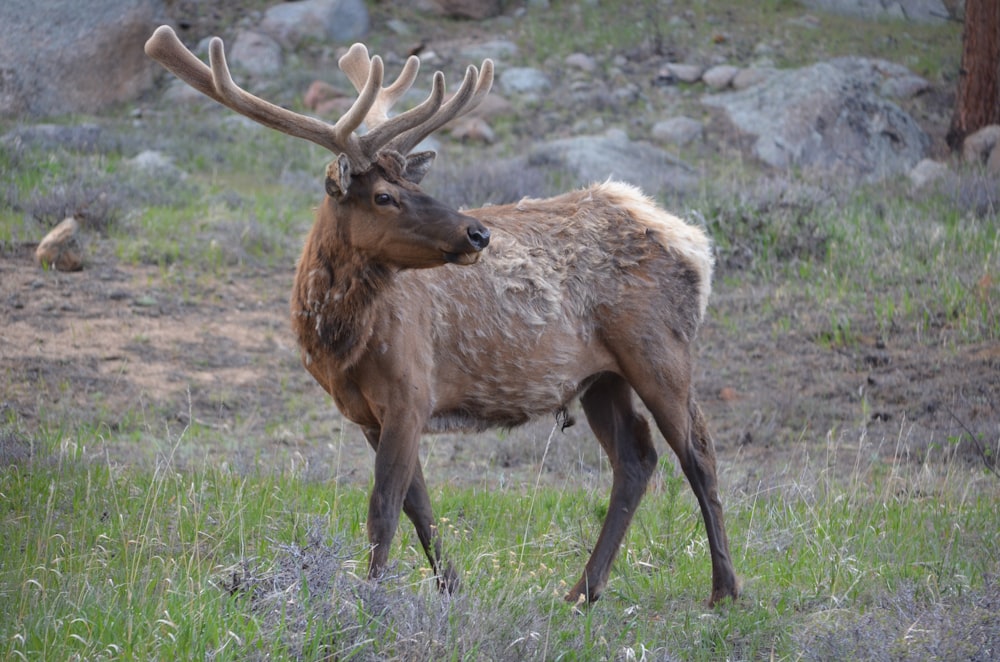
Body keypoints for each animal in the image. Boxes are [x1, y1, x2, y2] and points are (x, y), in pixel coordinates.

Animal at [145, 24, 740, 608]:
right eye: (384, 196)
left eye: (415, 184)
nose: (478, 232)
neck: (341, 344)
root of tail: (695, 243)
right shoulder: (371, 413)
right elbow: (418, 505)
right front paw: (451, 588)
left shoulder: (411, 389)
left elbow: (383, 508)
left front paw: (372, 600)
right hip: (600, 377)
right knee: (636, 459)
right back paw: (582, 591)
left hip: (658, 347)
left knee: (699, 453)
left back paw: (724, 589)